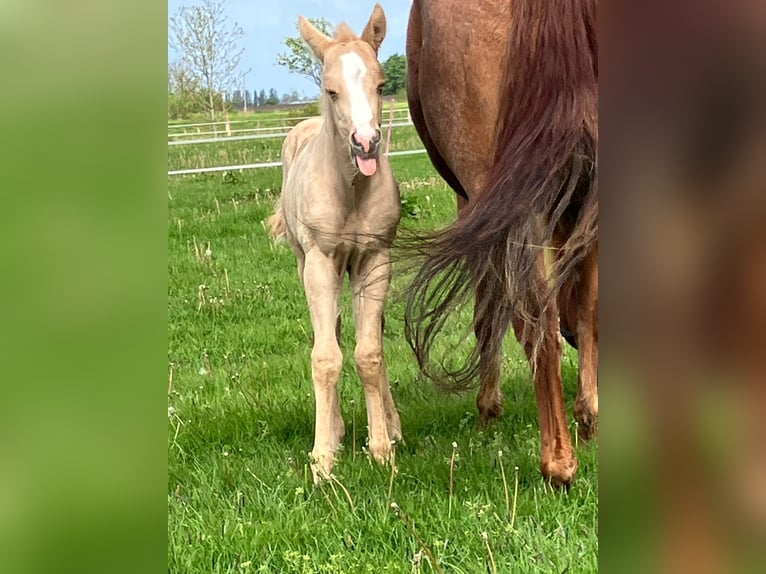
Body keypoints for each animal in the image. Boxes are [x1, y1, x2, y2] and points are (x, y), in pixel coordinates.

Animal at [268, 4, 402, 482]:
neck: (349, 190)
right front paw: (323, 458)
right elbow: (326, 357)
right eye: (331, 90)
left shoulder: (375, 258)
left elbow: (370, 352)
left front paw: (382, 448)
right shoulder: (320, 262)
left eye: (380, 85)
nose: (366, 142)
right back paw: (338, 430)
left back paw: (391, 425)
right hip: (306, 262)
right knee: (333, 333)